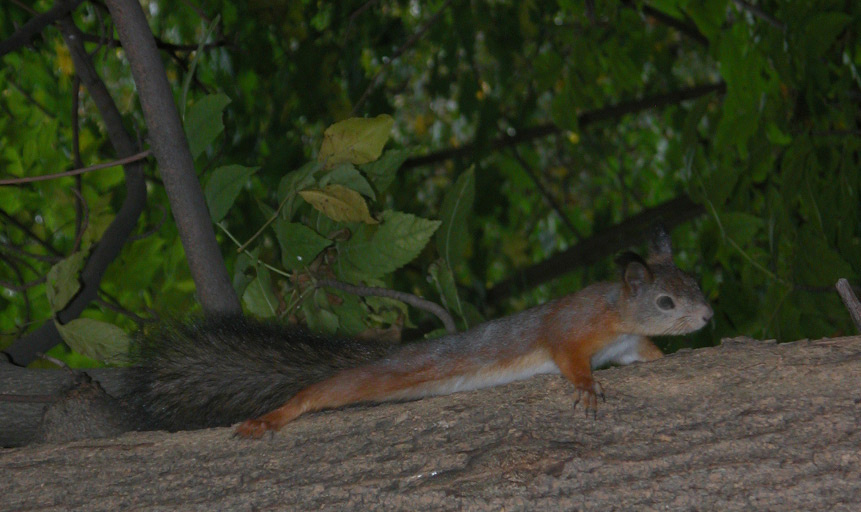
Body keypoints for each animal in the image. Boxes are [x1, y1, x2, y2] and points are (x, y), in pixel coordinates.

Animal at [128, 226, 713, 438]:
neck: (616, 312)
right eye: (665, 301)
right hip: (362, 384)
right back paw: (273, 416)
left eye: (696, 281)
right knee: (315, 393)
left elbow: (644, 355)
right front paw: (588, 391)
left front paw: (666, 360)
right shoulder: (571, 330)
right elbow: (570, 361)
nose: (708, 317)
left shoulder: (627, 345)